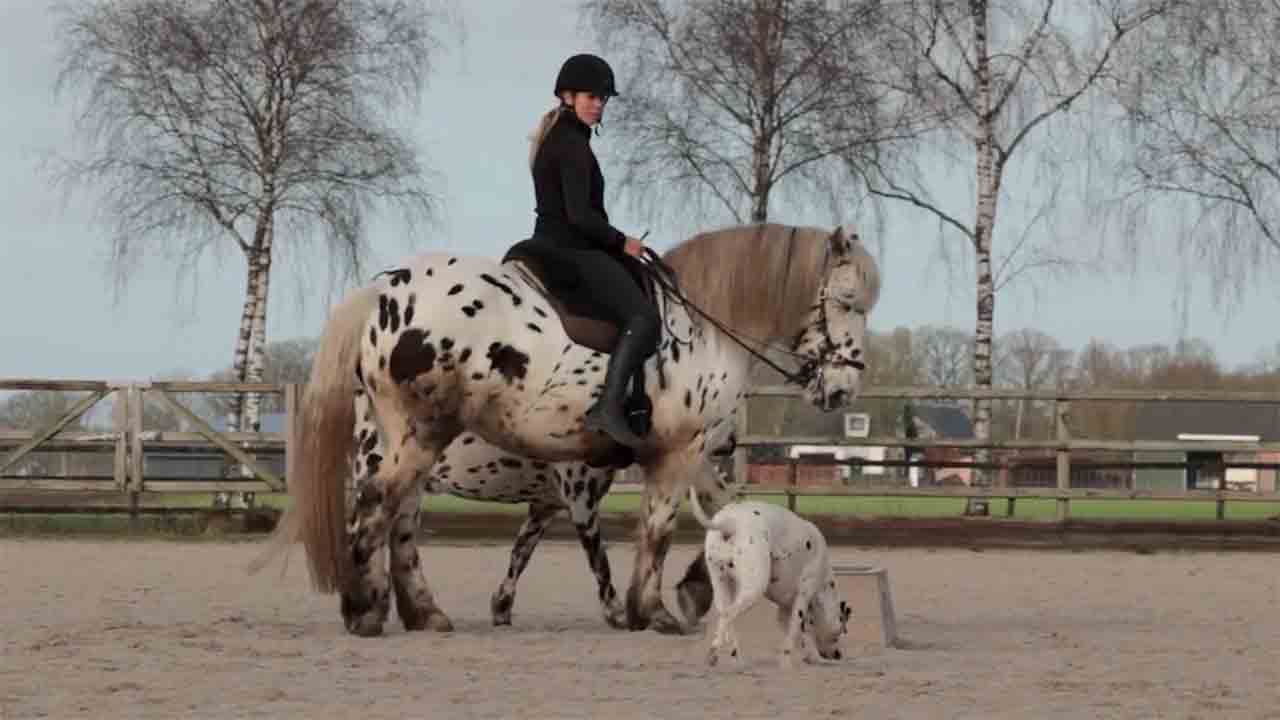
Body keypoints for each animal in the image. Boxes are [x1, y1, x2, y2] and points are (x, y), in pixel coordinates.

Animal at [254, 222, 885, 632]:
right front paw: (650, 609)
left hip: (409, 442)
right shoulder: (677, 451)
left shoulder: (687, 454)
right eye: (847, 300)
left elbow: (724, 510)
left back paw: (421, 611)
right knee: (377, 505)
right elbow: (658, 528)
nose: (843, 389)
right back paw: (364, 607)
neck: (702, 326)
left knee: (399, 518)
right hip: (418, 434)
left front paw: (692, 589)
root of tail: (383, 292)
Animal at [691, 486, 849, 666]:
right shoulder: (802, 598)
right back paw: (714, 652)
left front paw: (811, 657)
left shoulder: (785, 611)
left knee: (726, 619)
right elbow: (793, 635)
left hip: (723, 588)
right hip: (753, 588)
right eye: (839, 633)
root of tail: (730, 523)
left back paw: (737, 660)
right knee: (728, 615)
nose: (838, 655)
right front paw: (788, 662)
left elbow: (803, 636)